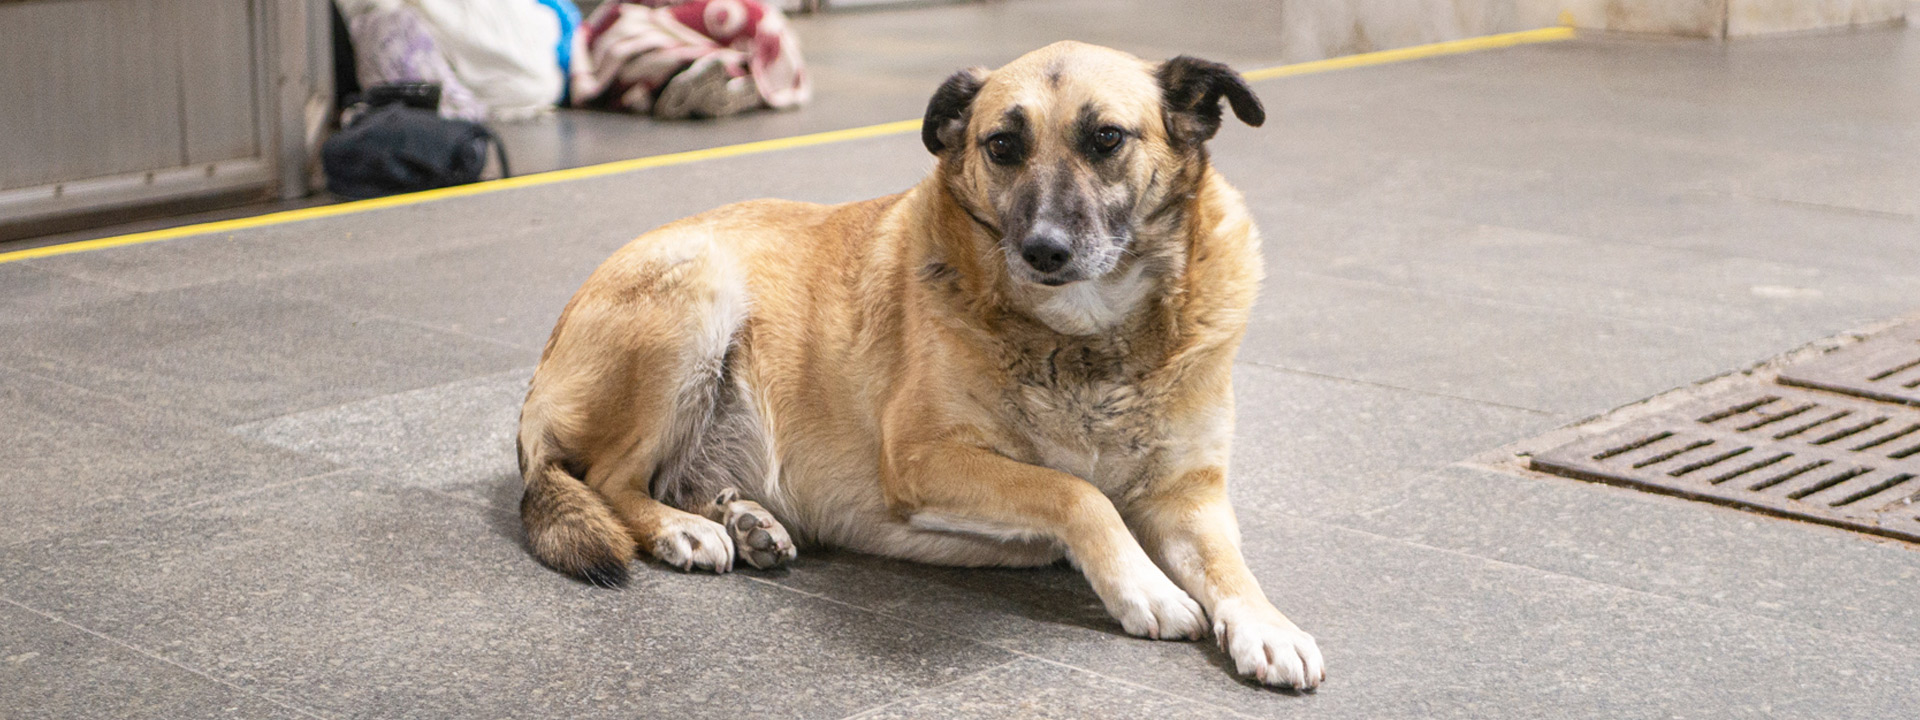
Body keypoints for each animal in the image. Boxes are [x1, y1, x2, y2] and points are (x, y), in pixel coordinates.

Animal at [517, 41, 1324, 690]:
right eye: (1002, 145)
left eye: (1106, 138)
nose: (1043, 250)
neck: (1087, 341)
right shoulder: (924, 459)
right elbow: (1076, 492)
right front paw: (1143, 588)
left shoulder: (1189, 498)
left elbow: (1230, 568)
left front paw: (1268, 624)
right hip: (697, 294)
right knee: (610, 479)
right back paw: (684, 531)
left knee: (670, 479)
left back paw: (744, 520)